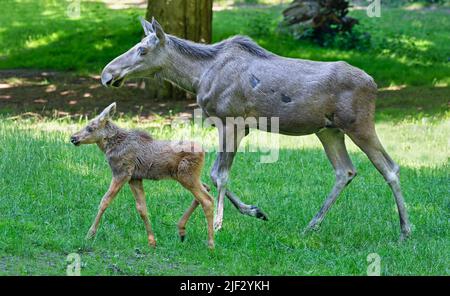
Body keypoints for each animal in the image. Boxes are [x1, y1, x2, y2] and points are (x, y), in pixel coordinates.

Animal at [70, 103, 214, 249]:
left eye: (90, 128)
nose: (73, 138)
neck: (108, 147)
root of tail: (204, 152)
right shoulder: (135, 178)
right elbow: (142, 208)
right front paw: (152, 241)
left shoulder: (121, 173)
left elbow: (104, 201)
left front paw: (89, 235)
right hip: (187, 176)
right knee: (206, 188)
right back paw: (182, 230)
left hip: (187, 176)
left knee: (207, 200)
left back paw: (210, 244)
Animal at [101, 16, 412, 239]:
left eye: (142, 50)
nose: (107, 74)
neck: (197, 77)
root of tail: (374, 83)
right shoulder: (235, 126)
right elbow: (212, 174)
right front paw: (255, 211)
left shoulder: (232, 121)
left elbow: (220, 174)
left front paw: (218, 224)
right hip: (328, 130)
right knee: (345, 171)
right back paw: (311, 225)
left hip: (359, 125)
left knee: (390, 168)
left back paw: (405, 230)